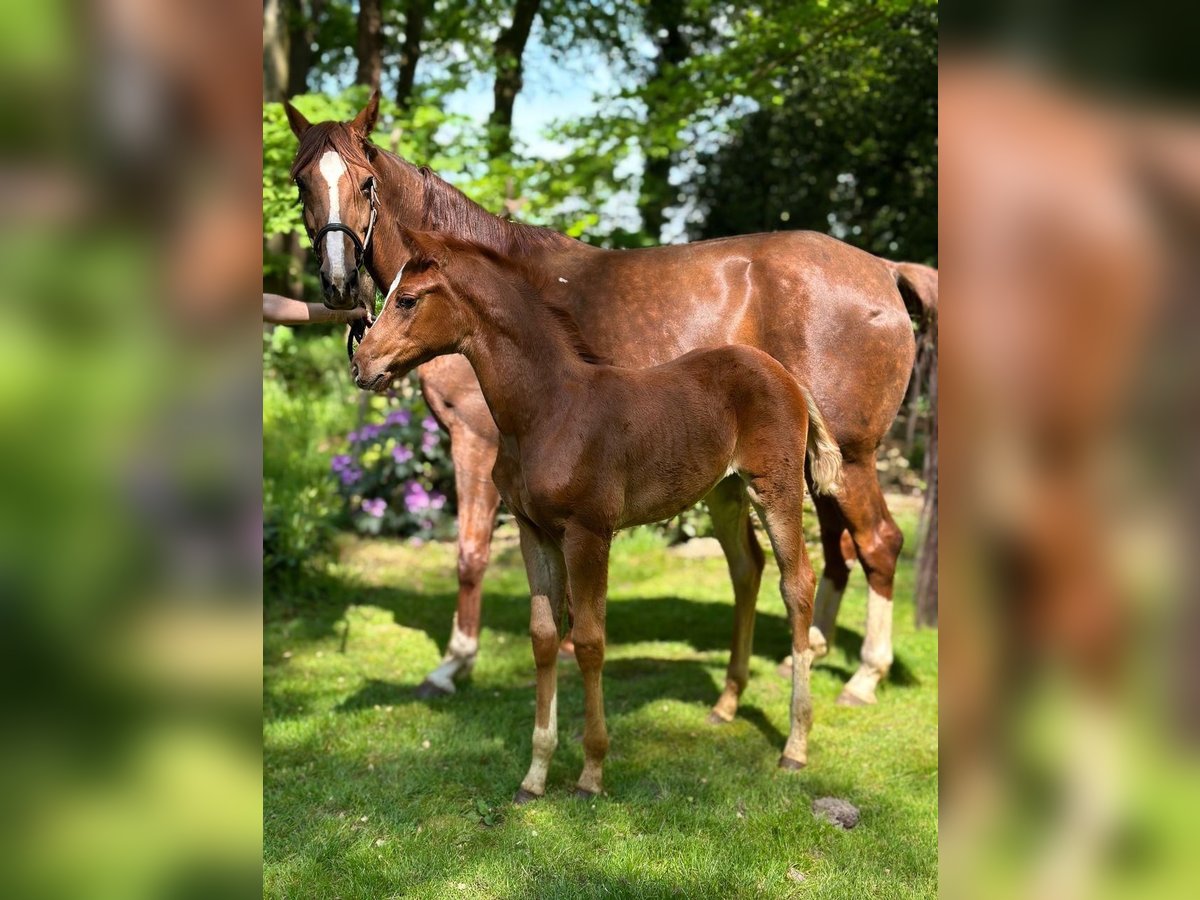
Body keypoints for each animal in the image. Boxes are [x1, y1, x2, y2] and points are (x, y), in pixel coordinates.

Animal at [350, 232, 844, 801]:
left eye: (407, 300)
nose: (360, 363)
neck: (547, 411)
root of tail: (786, 376)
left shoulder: (589, 534)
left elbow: (587, 641)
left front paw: (590, 772)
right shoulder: (533, 533)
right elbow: (544, 636)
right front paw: (535, 775)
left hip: (776, 489)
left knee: (797, 582)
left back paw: (795, 745)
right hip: (724, 492)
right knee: (747, 570)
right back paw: (725, 706)